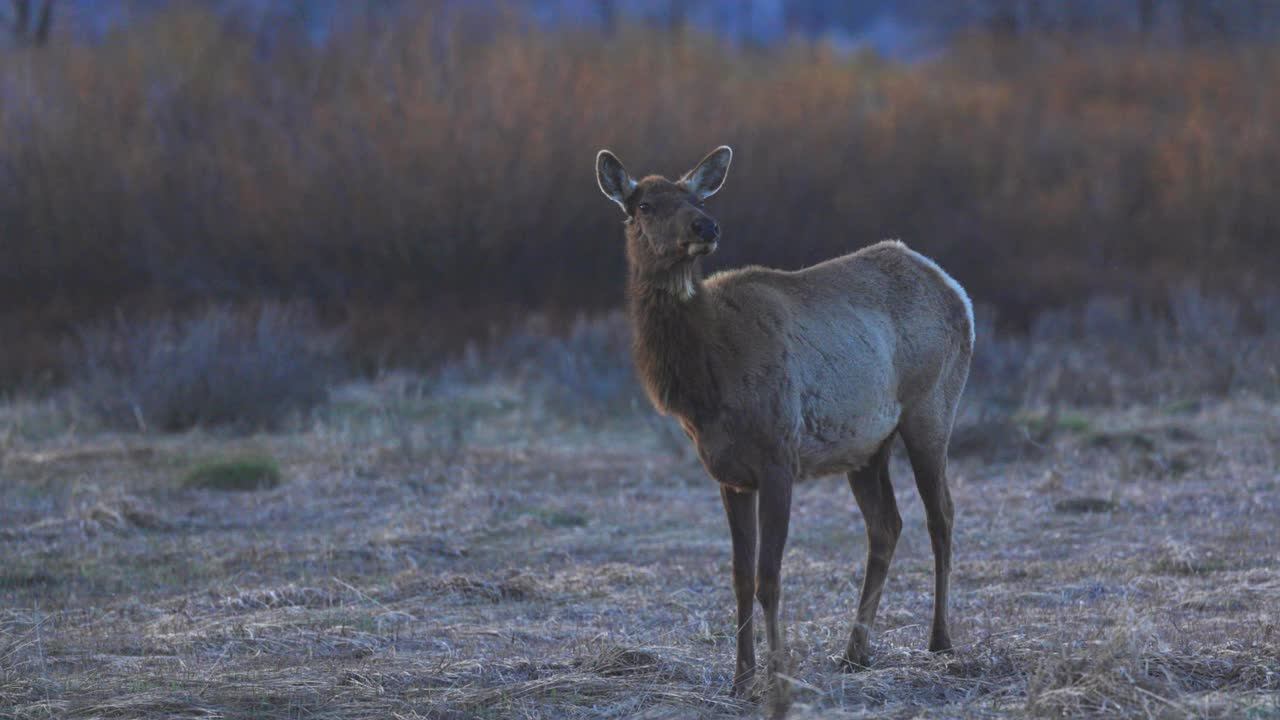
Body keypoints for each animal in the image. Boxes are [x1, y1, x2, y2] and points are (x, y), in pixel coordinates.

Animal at [593, 146, 972, 702]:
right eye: (643, 205)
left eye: (695, 197)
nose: (706, 225)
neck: (707, 378)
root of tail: (954, 287)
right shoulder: (729, 474)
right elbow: (739, 577)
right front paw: (739, 678)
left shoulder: (778, 456)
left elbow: (770, 576)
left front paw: (775, 676)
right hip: (866, 446)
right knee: (887, 525)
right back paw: (855, 651)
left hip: (933, 407)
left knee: (941, 515)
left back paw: (940, 640)